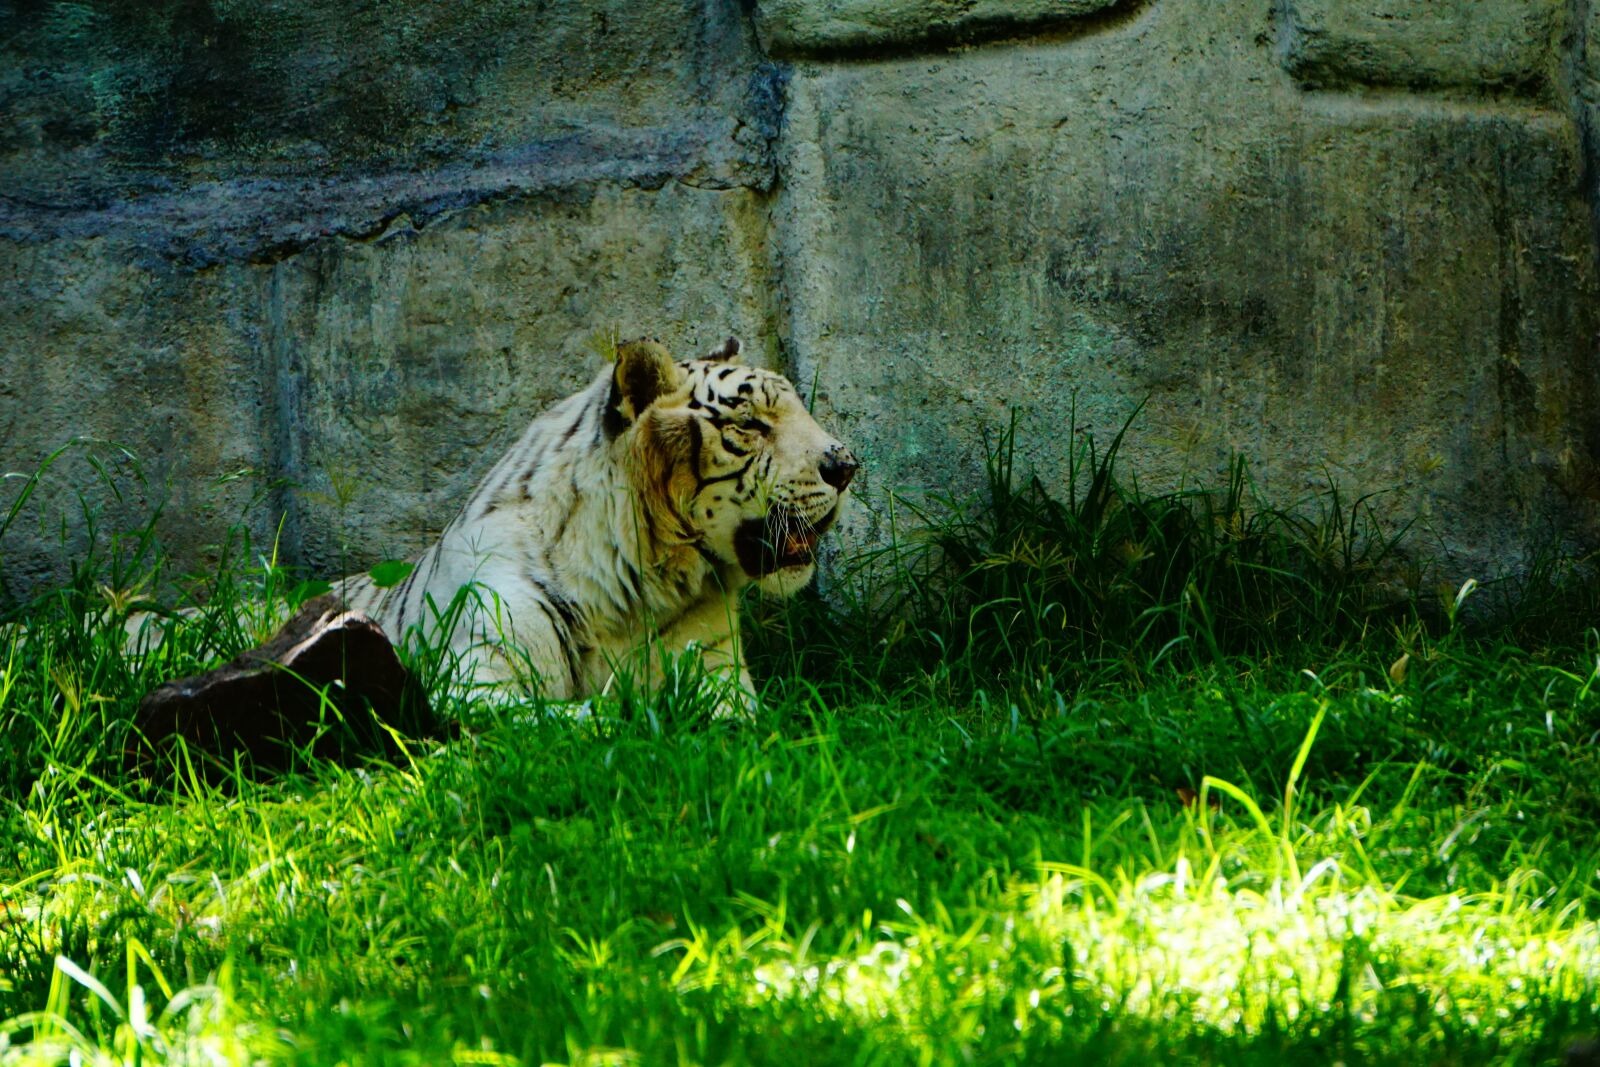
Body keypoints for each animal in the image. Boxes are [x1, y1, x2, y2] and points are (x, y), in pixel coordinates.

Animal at [327, 335, 857, 706]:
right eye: (748, 425)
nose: (847, 466)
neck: (638, 590)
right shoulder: (476, 674)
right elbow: (575, 717)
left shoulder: (720, 671)